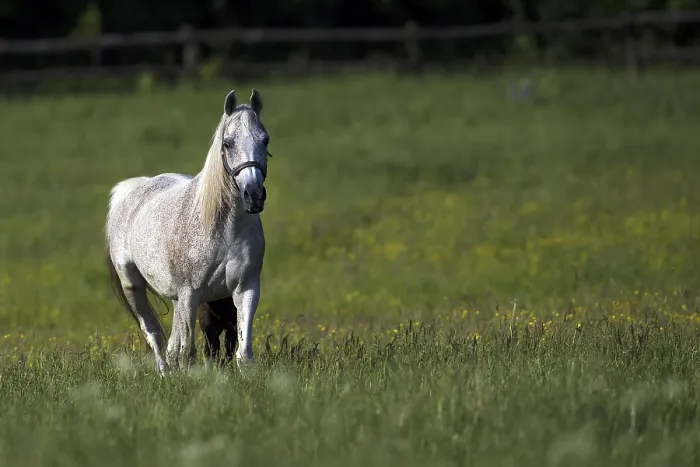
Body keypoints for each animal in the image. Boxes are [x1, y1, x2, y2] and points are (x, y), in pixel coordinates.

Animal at [105, 88, 272, 374]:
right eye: (228, 143)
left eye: (265, 140)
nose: (254, 195)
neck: (224, 230)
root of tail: (132, 190)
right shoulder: (190, 295)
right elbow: (188, 352)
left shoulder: (246, 289)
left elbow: (243, 352)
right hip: (134, 286)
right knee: (154, 335)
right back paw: (164, 374)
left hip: (177, 299)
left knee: (172, 343)